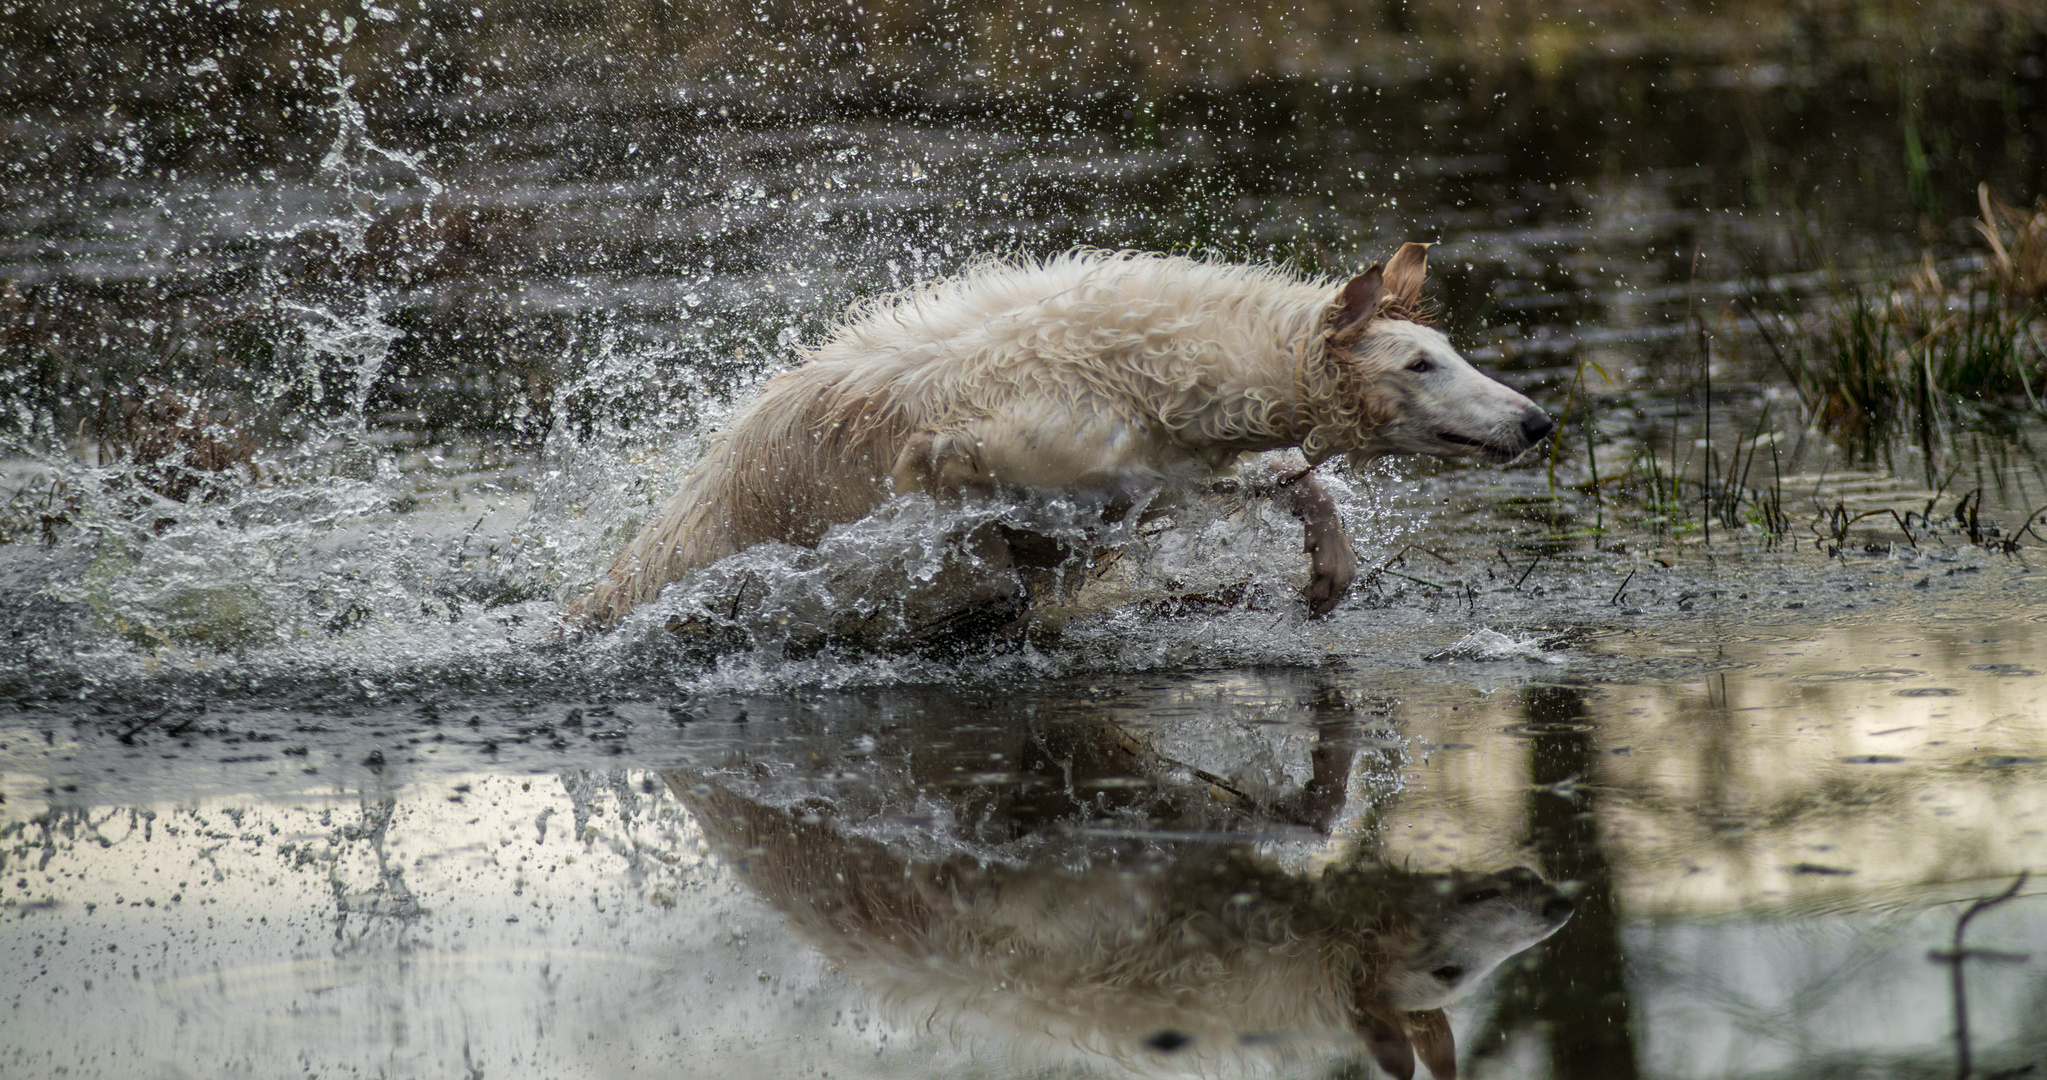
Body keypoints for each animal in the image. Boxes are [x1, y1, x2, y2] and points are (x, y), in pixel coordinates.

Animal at [569, 242, 1539, 634]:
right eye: (1419, 363)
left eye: (1450, 352)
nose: (1536, 420)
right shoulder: (963, 455)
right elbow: (978, 542)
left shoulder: (1158, 474)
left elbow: (1297, 482)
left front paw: (1328, 569)